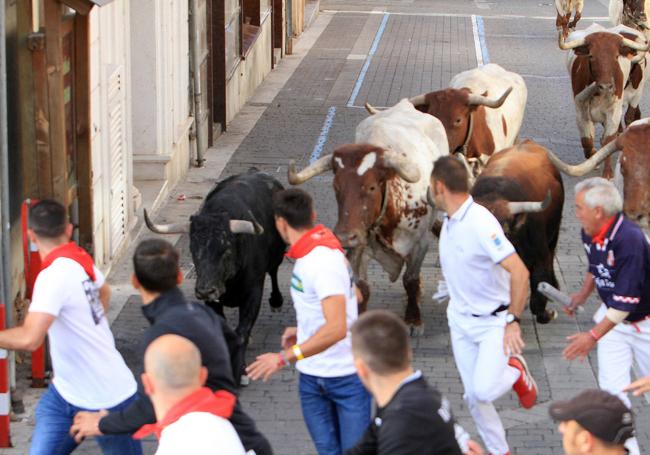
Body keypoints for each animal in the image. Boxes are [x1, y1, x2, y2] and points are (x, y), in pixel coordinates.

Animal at [144, 169, 286, 382]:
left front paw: (241, 371)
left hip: (277, 255)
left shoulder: (253, 291)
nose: (205, 290)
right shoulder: (212, 301)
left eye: (225, 250)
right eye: (193, 250)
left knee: (274, 272)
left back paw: (276, 301)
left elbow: (242, 331)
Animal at [286, 100, 448, 334]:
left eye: (371, 187)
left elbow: (410, 279)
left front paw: (413, 319)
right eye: (336, 187)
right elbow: (362, 286)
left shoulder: (420, 244)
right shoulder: (358, 246)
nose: (344, 236)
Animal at [556, 23, 648, 178]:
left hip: (636, 93)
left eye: (616, 57)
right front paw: (593, 157)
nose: (606, 86)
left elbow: (608, 140)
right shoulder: (581, 112)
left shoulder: (615, 112)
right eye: (591, 56)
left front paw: (608, 172)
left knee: (628, 117)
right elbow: (587, 140)